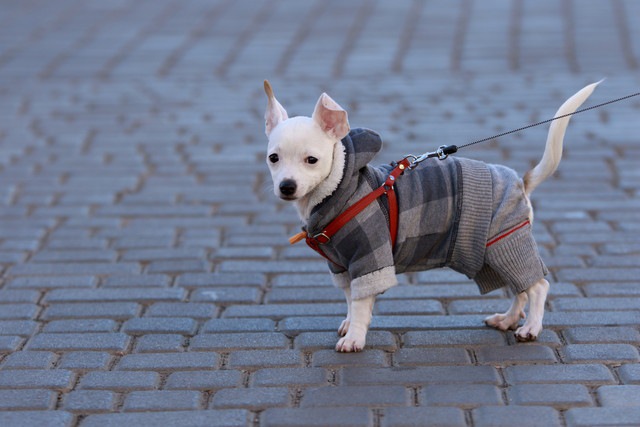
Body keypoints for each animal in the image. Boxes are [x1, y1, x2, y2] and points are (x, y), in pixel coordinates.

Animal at [262, 79, 596, 352]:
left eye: (312, 160)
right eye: (273, 158)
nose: (287, 186)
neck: (340, 190)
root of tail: (520, 181)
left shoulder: (369, 257)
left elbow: (360, 303)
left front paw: (355, 337)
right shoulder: (343, 266)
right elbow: (350, 299)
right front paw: (349, 324)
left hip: (505, 241)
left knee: (538, 287)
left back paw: (530, 328)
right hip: (495, 251)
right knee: (521, 289)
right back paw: (509, 319)